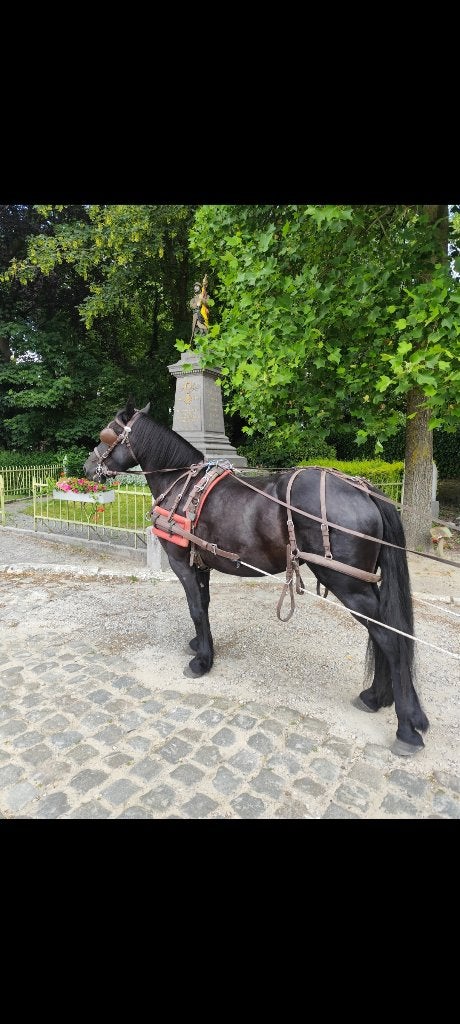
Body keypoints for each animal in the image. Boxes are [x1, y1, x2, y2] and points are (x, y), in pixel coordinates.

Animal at [83, 400, 429, 757]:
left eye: (107, 434)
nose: (88, 466)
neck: (181, 484)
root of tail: (363, 489)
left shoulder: (182, 563)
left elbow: (195, 609)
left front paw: (201, 661)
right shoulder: (202, 565)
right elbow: (204, 606)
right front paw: (202, 645)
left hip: (348, 584)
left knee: (389, 638)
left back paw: (405, 729)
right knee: (384, 632)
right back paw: (380, 699)